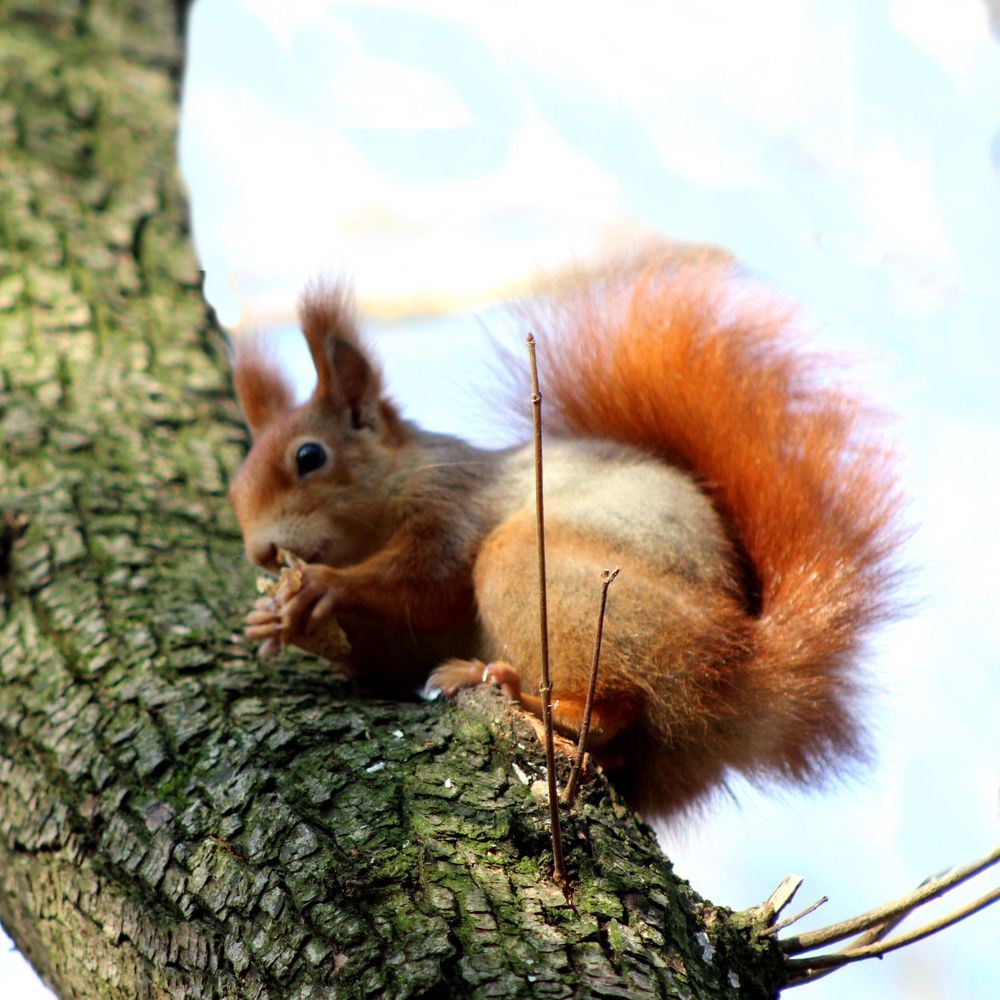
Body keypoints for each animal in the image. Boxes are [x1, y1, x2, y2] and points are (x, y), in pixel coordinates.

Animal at [230, 254, 904, 816]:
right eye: (234, 488)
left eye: (310, 457)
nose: (260, 551)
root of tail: (745, 663)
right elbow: (387, 665)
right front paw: (281, 622)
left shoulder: (453, 507)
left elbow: (428, 581)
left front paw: (320, 586)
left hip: (550, 578)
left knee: (612, 708)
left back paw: (514, 690)